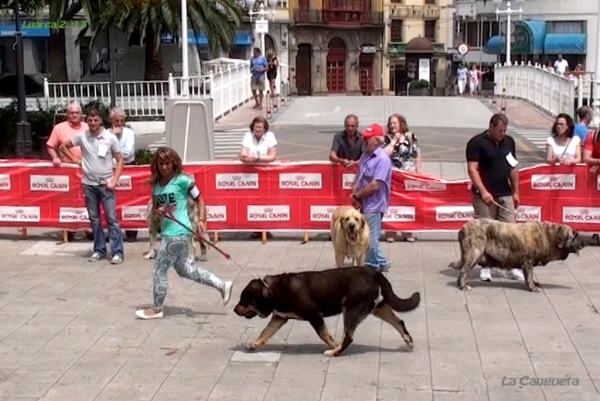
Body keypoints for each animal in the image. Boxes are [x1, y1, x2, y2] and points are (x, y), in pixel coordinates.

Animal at [450, 217, 584, 292]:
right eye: (575, 236)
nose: (583, 243)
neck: (549, 236)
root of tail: (463, 228)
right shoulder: (528, 262)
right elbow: (529, 275)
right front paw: (532, 287)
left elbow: (529, 276)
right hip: (474, 253)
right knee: (463, 270)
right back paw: (463, 286)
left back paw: (460, 284)